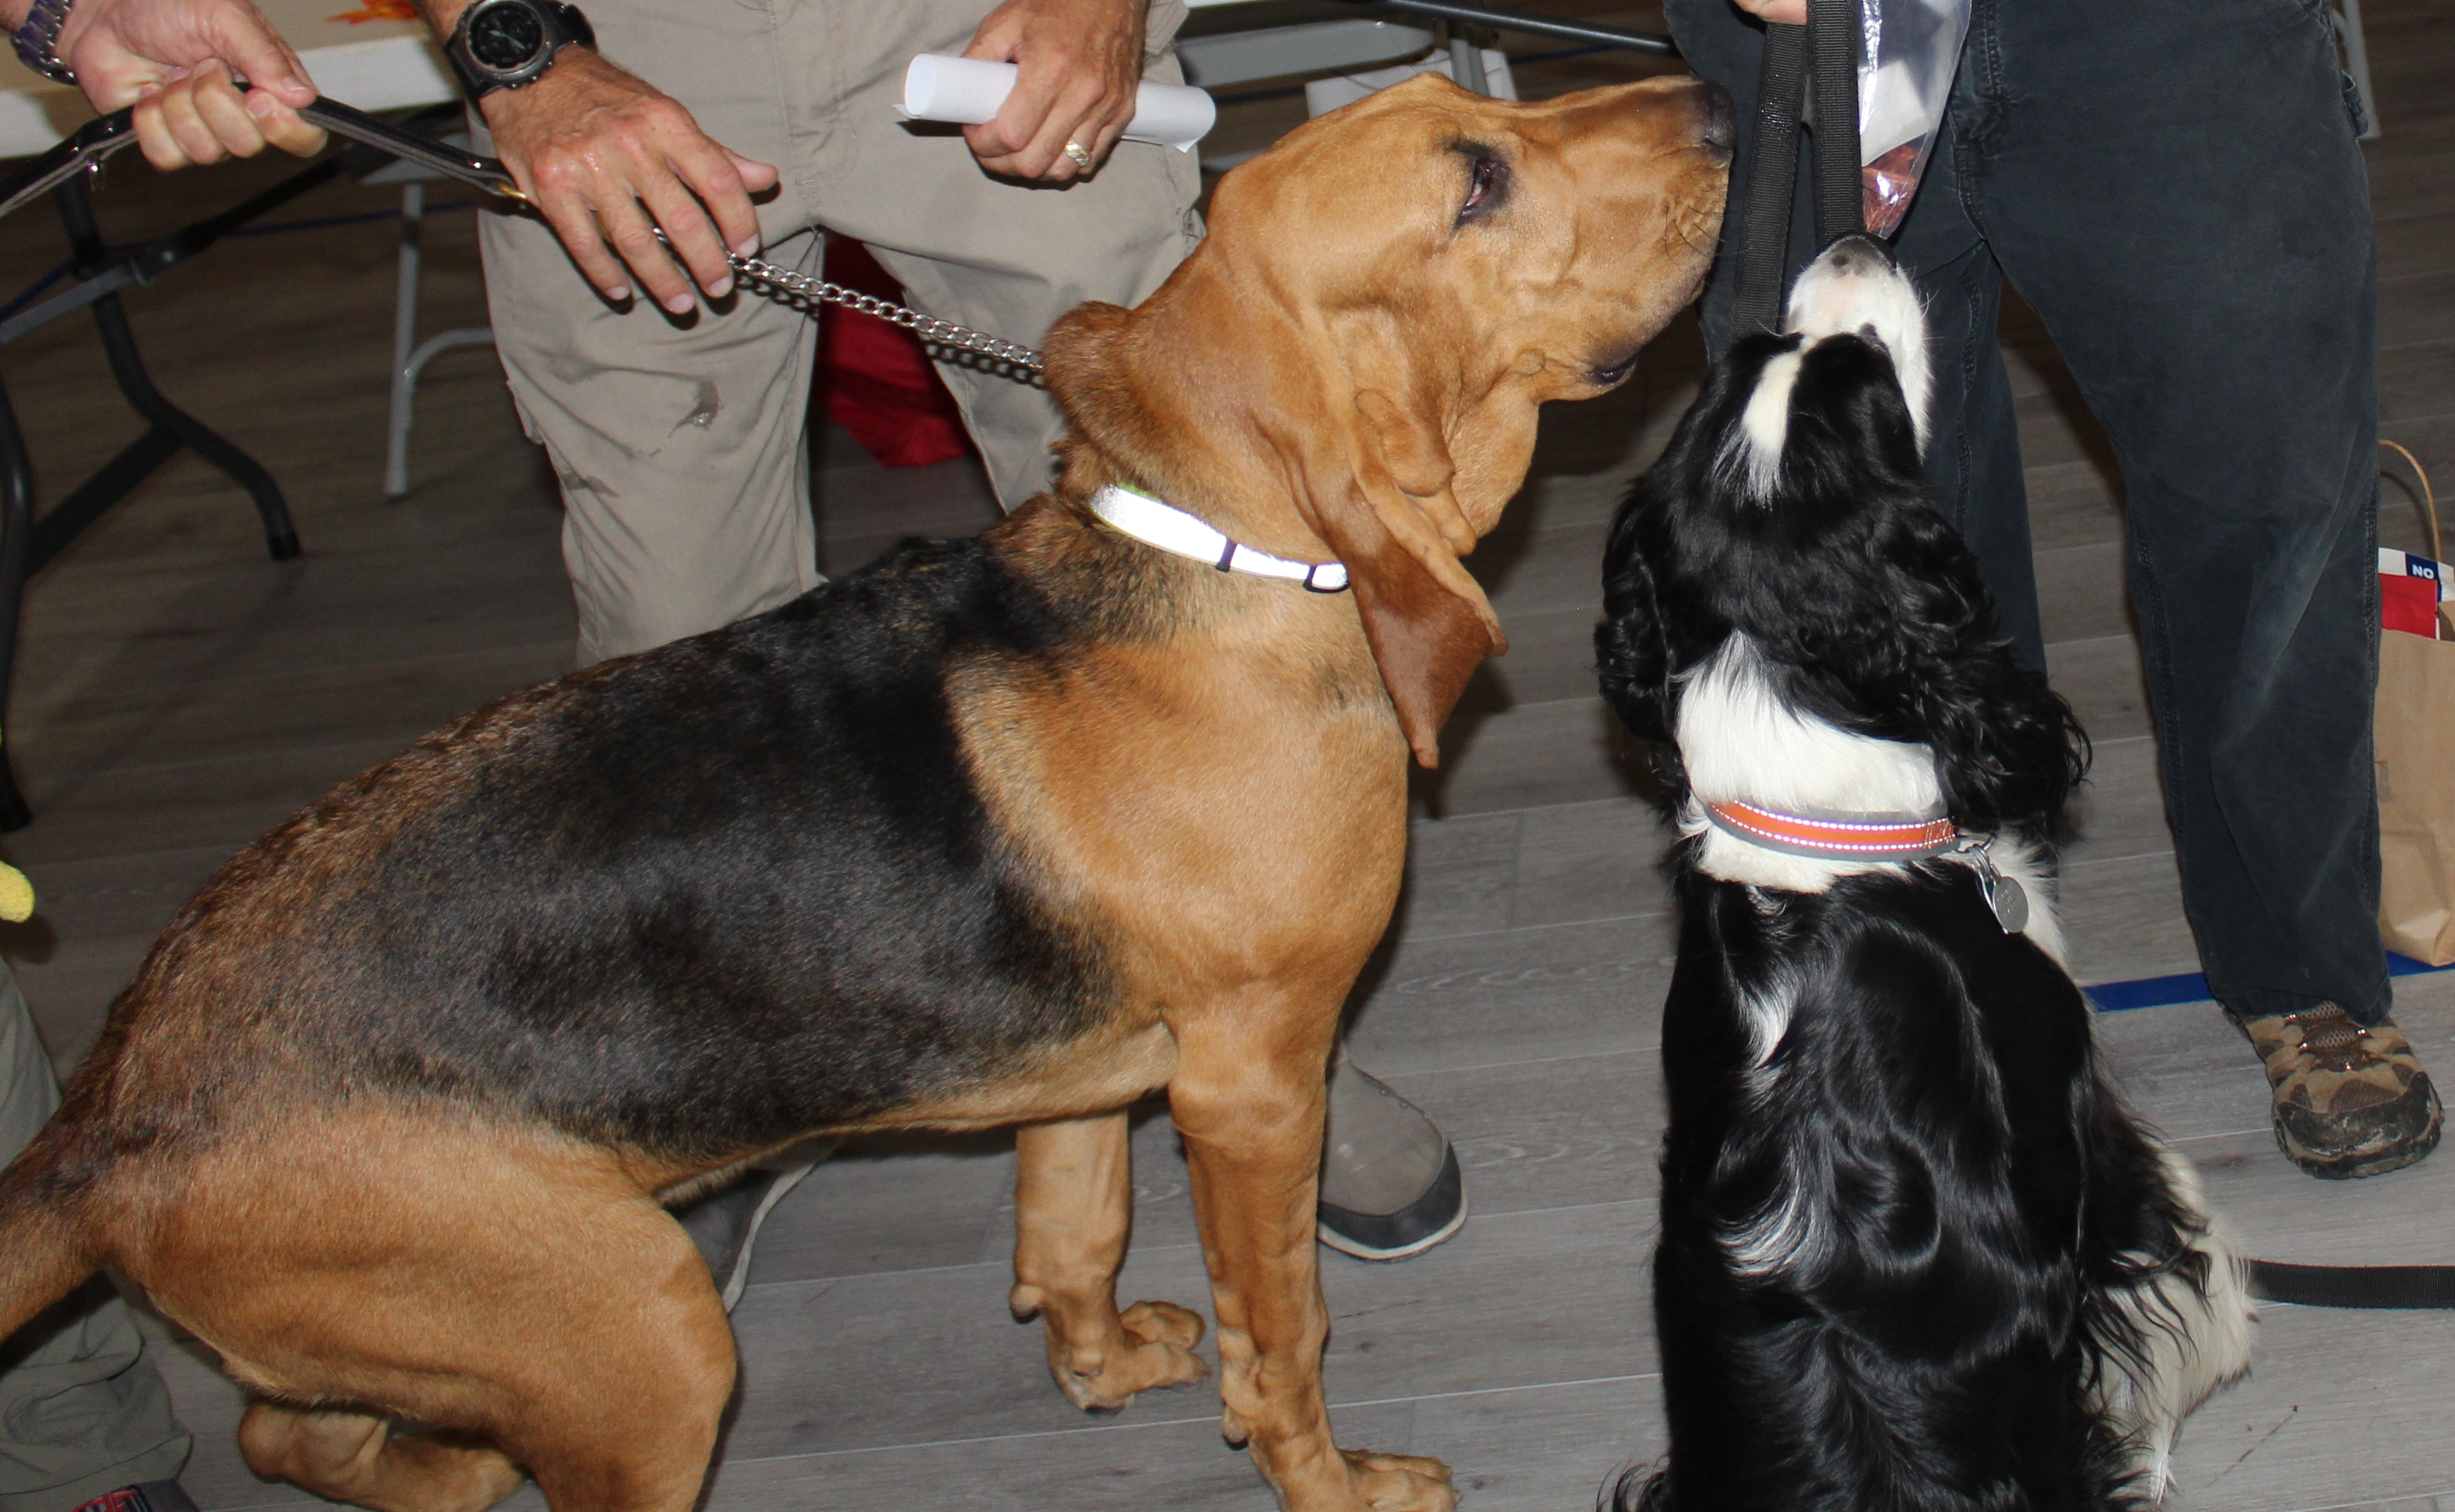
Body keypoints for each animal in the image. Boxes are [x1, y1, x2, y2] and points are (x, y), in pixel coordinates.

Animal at [0, 74, 1729, 1512]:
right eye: (1475, 182)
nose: (1717, 103)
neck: (1219, 556)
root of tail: (108, 1123)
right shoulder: (1248, 1087)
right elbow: (1286, 1332)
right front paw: (1335, 1484)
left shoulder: (1090, 1082)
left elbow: (1073, 1233)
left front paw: (1101, 1366)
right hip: (644, 1340)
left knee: (281, 1428)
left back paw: (447, 1464)